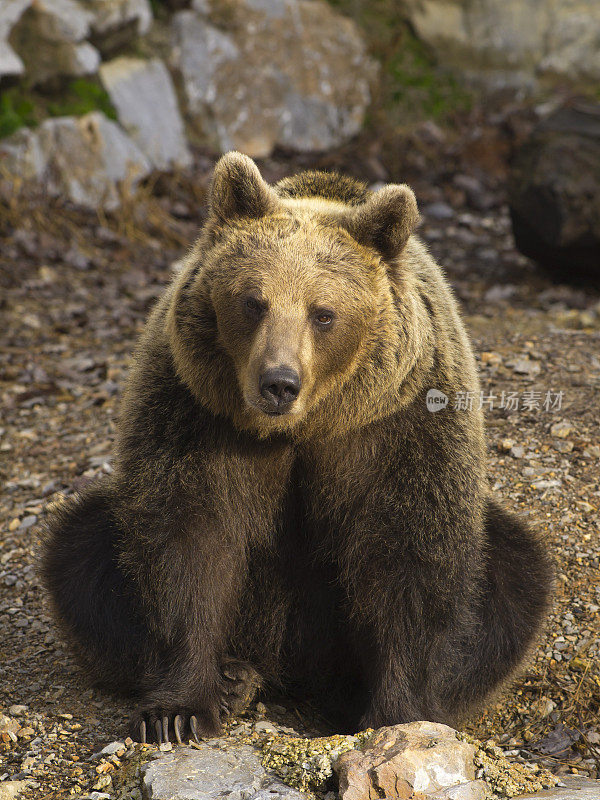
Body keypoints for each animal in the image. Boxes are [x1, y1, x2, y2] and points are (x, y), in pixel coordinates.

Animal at [39, 152, 552, 744]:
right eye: (253, 302)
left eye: (322, 312)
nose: (278, 382)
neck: (307, 425)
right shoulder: (195, 412)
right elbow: (188, 540)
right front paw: (178, 711)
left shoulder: (397, 425)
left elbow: (412, 553)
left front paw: (395, 712)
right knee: (81, 550)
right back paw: (235, 678)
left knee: (514, 577)